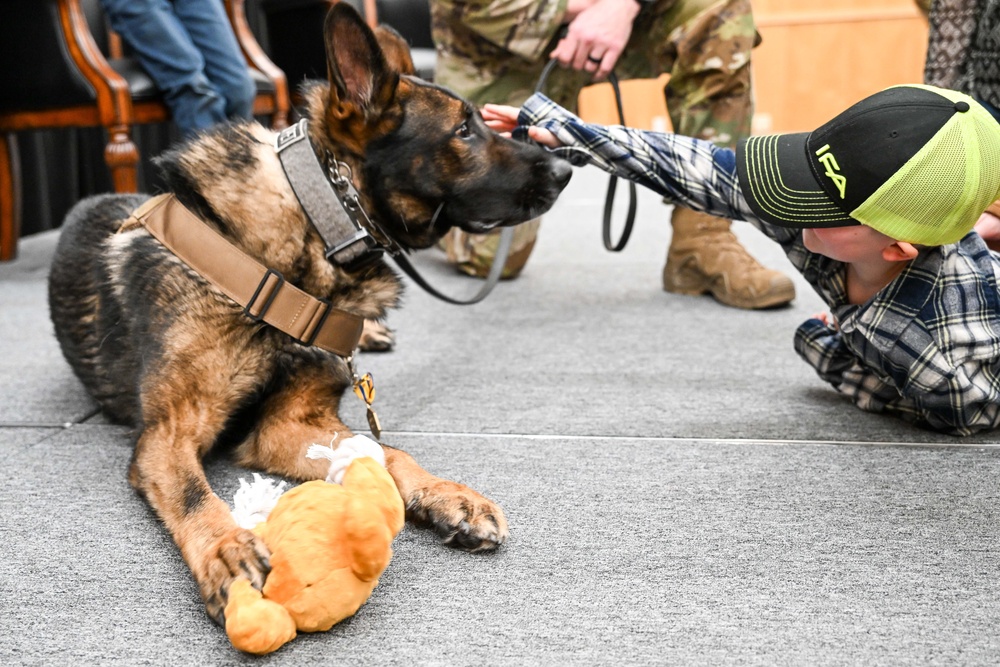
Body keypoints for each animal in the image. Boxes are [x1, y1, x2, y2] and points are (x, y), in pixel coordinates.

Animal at [48, 3, 572, 628]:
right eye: (464, 130)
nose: (566, 170)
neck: (304, 242)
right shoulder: (169, 435)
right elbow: (198, 495)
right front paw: (227, 548)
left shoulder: (288, 425)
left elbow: (387, 451)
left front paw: (448, 494)